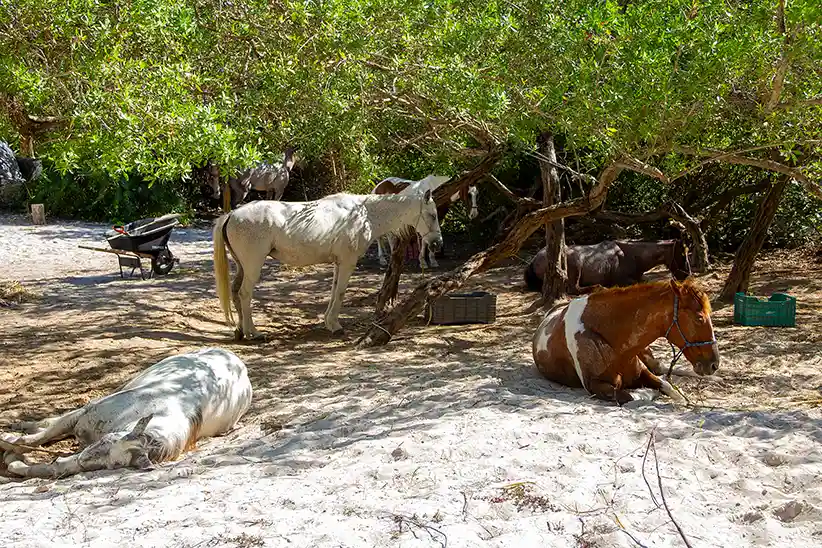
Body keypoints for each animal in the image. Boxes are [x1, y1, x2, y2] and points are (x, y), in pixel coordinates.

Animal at [212, 192, 444, 338]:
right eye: (432, 215)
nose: (437, 244)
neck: (365, 213)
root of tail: (231, 215)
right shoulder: (348, 262)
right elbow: (340, 293)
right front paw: (335, 326)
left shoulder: (338, 263)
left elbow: (333, 292)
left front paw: (328, 322)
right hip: (253, 266)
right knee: (244, 294)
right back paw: (253, 333)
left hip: (242, 266)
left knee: (235, 292)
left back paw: (240, 331)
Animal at [524, 238, 692, 294]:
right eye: (682, 255)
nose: (686, 274)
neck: (630, 255)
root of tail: (534, 260)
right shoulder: (624, 280)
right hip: (575, 265)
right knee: (574, 289)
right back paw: (600, 288)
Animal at [536, 280, 720, 404]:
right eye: (699, 318)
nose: (714, 364)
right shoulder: (596, 386)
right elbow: (632, 395)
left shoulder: (642, 372)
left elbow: (668, 387)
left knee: (660, 367)